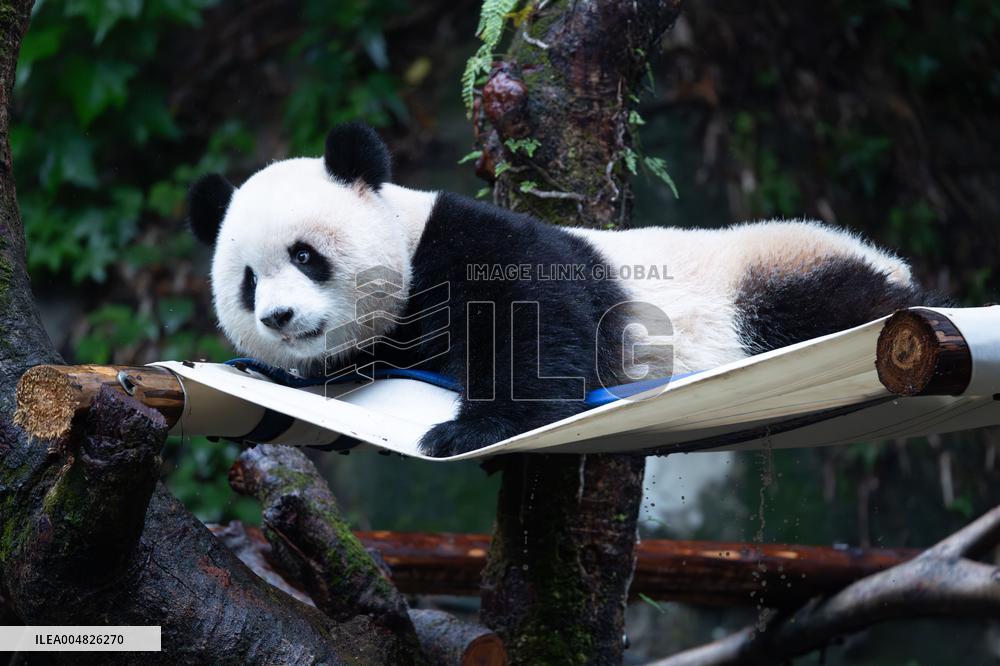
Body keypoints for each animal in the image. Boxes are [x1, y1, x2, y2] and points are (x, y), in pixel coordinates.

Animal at [187, 122, 930, 457]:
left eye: (305, 255)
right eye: (248, 284)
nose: (280, 317)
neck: (407, 238)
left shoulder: (480, 244)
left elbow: (538, 325)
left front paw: (464, 430)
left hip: (770, 275)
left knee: (823, 301)